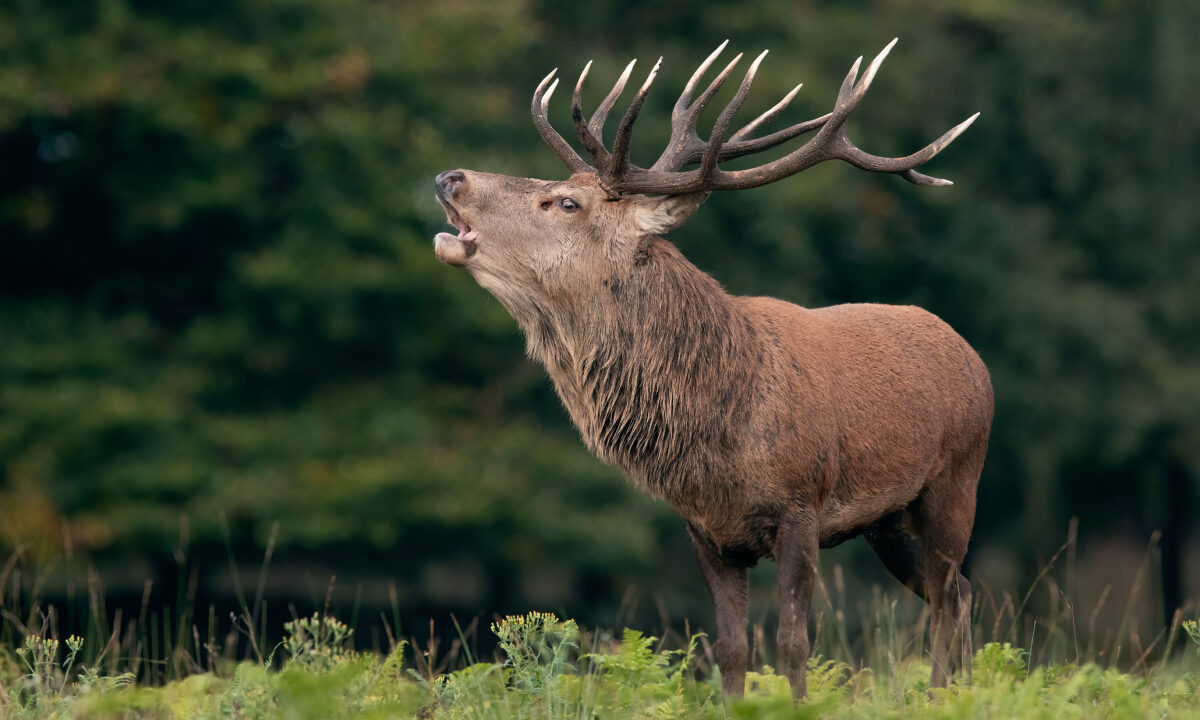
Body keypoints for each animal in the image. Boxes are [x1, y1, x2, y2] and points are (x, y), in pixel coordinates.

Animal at [432, 39, 992, 700]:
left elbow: (794, 644)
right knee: (956, 593)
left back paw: (946, 695)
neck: (715, 436)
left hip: (956, 480)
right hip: (886, 522)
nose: (450, 177)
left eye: (566, 202)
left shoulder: (801, 507)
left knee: (949, 595)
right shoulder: (707, 532)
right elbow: (730, 650)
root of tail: (969, 352)